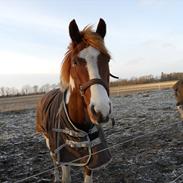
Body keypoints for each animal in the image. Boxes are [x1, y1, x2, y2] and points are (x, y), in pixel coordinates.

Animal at [35, 19, 113, 183]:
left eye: (107, 59)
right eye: (76, 62)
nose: (101, 110)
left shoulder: (92, 158)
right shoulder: (64, 157)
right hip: (48, 141)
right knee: (54, 161)